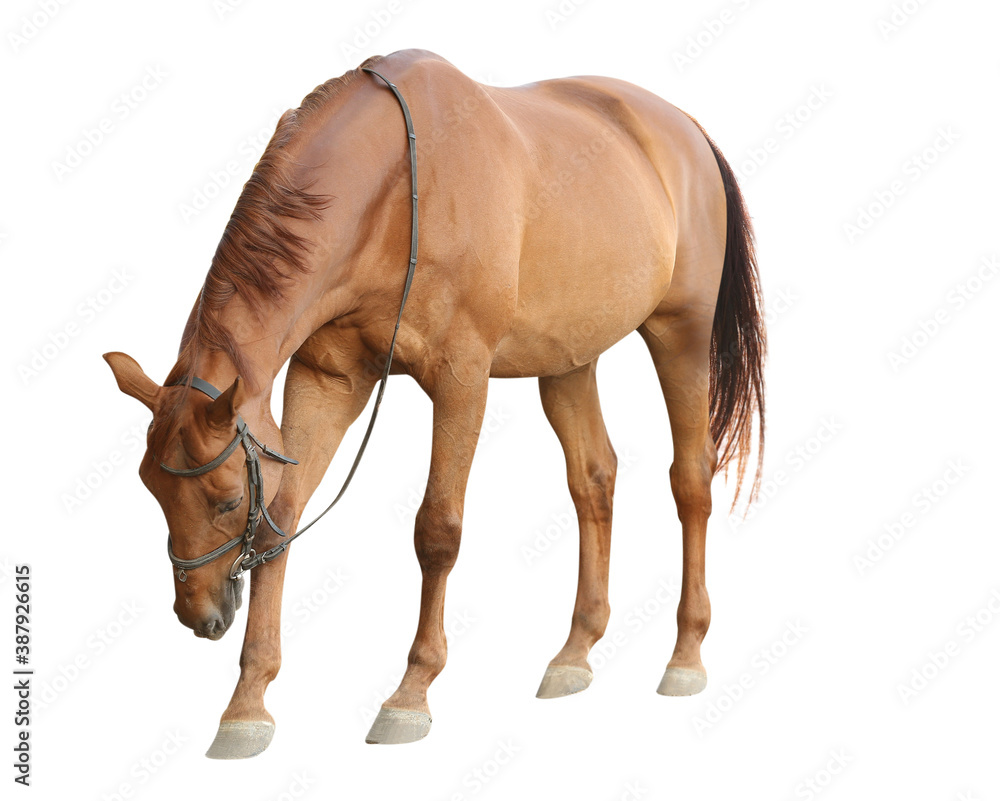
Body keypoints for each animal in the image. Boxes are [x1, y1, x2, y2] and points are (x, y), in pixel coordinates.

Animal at [103, 50, 764, 756]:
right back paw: (574, 654)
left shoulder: (461, 376)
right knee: (594, 480)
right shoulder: (329, 376)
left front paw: (410, 694)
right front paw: (247, 703)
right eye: (151, 490)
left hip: (681, 334)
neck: (397, 190)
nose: (197, 614)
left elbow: (437, 531)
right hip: (568, 359)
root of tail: (685, 128)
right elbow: (281, 521)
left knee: (691, 479)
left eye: (226, 500)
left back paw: (686, 655)